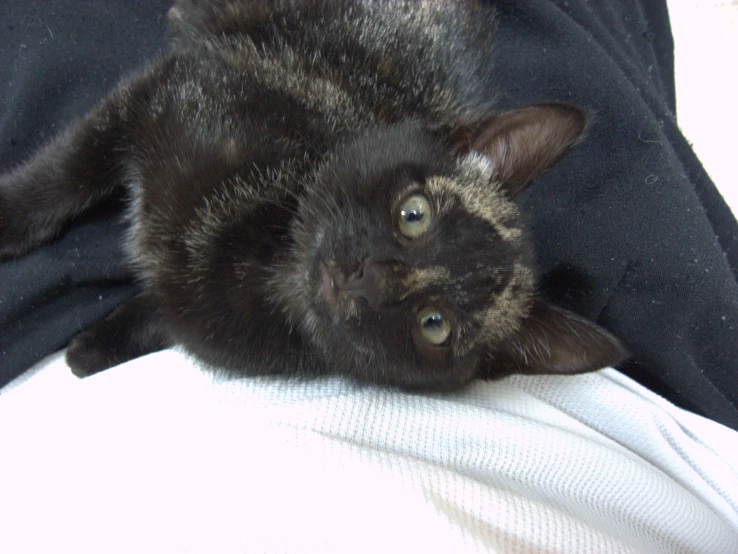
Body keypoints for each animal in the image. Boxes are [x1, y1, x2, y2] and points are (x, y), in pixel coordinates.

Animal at [0, 1, 624, 388]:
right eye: (414, 214)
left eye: (434, 324)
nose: (363, 278)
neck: (260, 262)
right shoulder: (166, 92)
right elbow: (66, 171)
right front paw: (8, 214)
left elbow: (164, 313)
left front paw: (95, 347)